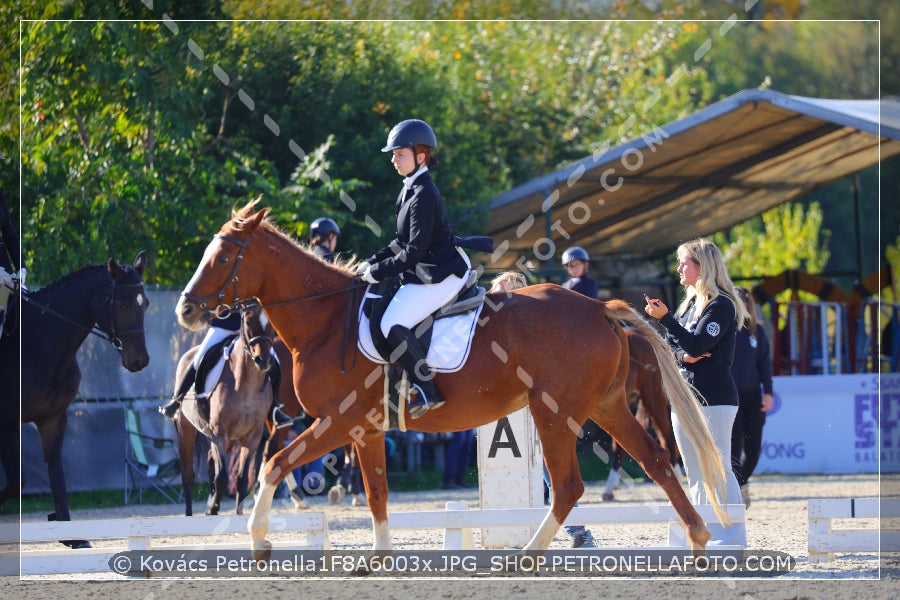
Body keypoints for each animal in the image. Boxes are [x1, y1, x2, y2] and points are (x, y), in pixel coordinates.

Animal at [0, 251, 149, 548]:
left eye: (146, 304)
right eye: (124, 304)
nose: (139, 361)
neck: (35, 345)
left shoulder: (53, 419)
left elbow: (57, 477)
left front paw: (72, 536)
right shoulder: (7, 423)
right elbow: (15, 481)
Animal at [175, 300, 274, 516]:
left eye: (271, 324)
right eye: (248, 322)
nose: (263, 360)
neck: (245, 384)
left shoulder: (251, 437)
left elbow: (242, 479)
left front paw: (235, 513)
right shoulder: (220, 433)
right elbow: (221, 478)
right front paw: (213, 506)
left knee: (211, 460)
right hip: (186, 428)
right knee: (188, 475)